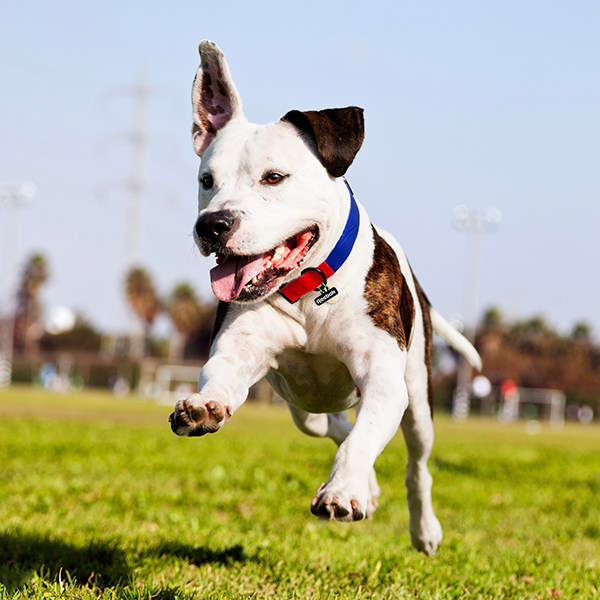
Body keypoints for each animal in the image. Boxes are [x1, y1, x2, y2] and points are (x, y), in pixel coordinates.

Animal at [170, 41, 482, 556]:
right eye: (206, 180)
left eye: (274, 177)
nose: (212, 225)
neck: (308, 291)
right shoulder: (239, 350)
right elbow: (221, 377)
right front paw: (204, 406)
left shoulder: (383, 379)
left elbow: (364, 437)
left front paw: (343, 491)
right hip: (302, 406)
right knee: (330, 426)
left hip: (418, 398)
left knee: (415, 463)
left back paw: (422, 528)